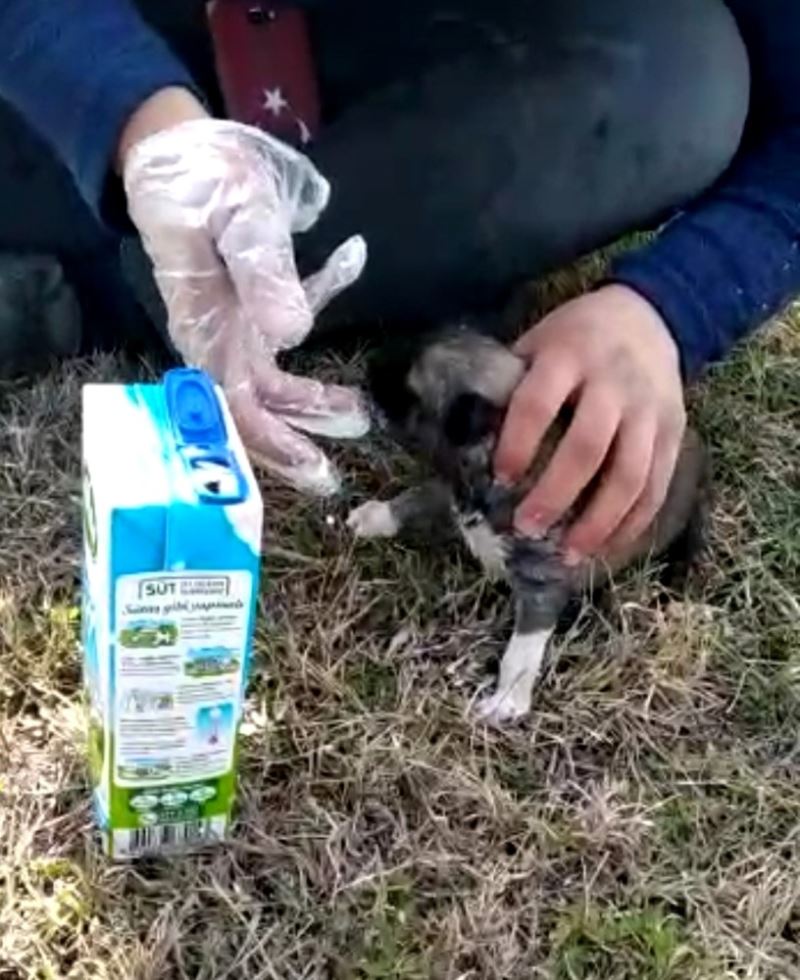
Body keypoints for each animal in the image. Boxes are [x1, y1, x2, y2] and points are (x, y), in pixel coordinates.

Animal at [346, 324, 708, 728]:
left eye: (408, 391)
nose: (368, 366)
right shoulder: (450, 489)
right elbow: (416, 500)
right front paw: (377, 516)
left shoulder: (542, 581)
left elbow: (521, 649)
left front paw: (507, 697)